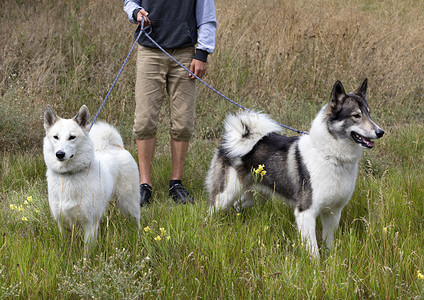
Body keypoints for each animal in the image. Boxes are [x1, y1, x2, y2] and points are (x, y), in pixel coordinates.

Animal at [44, 105, 142, 253]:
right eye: (56, 137)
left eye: (72, 137)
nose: (59, 154)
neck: (68, 175)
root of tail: (115, 146)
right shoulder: (63, 223)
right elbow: (65, 246)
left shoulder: (89, 224)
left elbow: (86, 251)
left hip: (129, 204)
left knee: (137, 221)